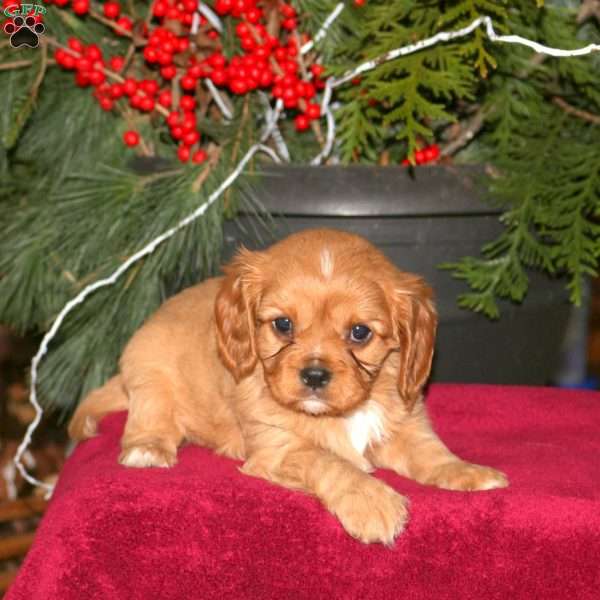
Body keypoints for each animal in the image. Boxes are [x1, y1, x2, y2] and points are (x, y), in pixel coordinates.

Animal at [71, 229, 510, 544]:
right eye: (283, 325)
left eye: (360, 333)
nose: (314, 376)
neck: (344, 412)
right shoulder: (278, 448)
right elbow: (328, 460)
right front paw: (371, 502)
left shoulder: (403, 426)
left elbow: (431, 453)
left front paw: (468, 472)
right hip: (150, 373)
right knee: (150, 415)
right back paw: (148, 448)